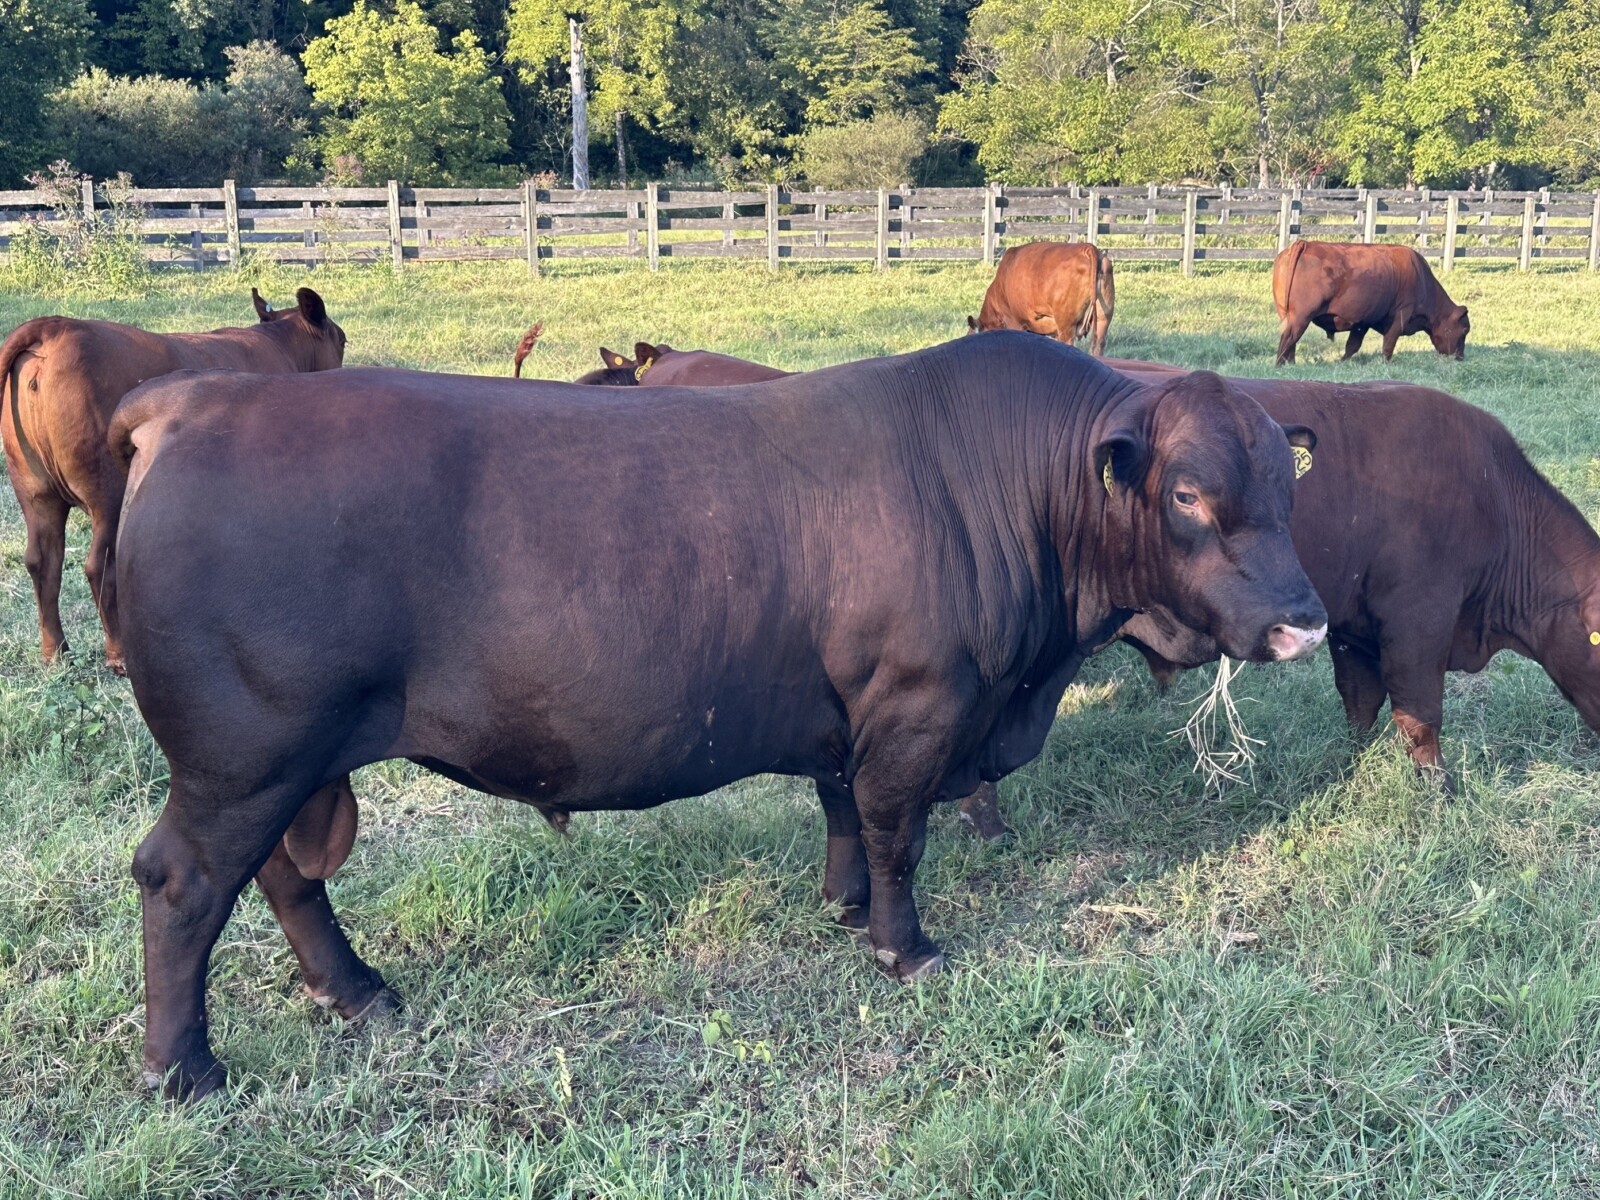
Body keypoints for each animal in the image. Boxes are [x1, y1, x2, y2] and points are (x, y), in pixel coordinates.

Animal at [0, 288, 345, 671]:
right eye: (342, 340)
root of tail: (56, 326)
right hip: (108, 492)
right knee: (100, 566)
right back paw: (119, 654)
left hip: (35, 492)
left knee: (42, 562)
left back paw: (55, 652)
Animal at [109, 333, 1326, 1098]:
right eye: (1186, 493)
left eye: (1283, 483)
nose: (1301, 621)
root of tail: (189, 399)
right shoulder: (918, 708)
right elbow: (898, 833)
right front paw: (904, 947)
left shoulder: (847, 714)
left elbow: (842, 814)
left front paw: (841, 906)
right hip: (246, 753)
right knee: (186, 883)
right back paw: (184, 1070)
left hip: (282, 763)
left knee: (285, 875)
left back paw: (356, 993)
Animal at [1108, 364, 1600, 787]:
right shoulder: (1419, 621)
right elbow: (1420, 716)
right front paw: (1439, 787)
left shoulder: (1351, 625)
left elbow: (1360, 703)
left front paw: (1354, 763)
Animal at [1271, 241, 1469, 365]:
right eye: (1464, 330)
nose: (1461, 357)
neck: (1422, 279)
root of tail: (1305, 244)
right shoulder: (1401, 314)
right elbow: (1389, 344)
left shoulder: (1363, 321)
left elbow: (1353, 345)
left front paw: (1342, 362)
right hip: (1301, 318)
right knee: (1289, 339)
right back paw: (1281, 365)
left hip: (1288, 315)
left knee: (1291, 342)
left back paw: (1291, 363)